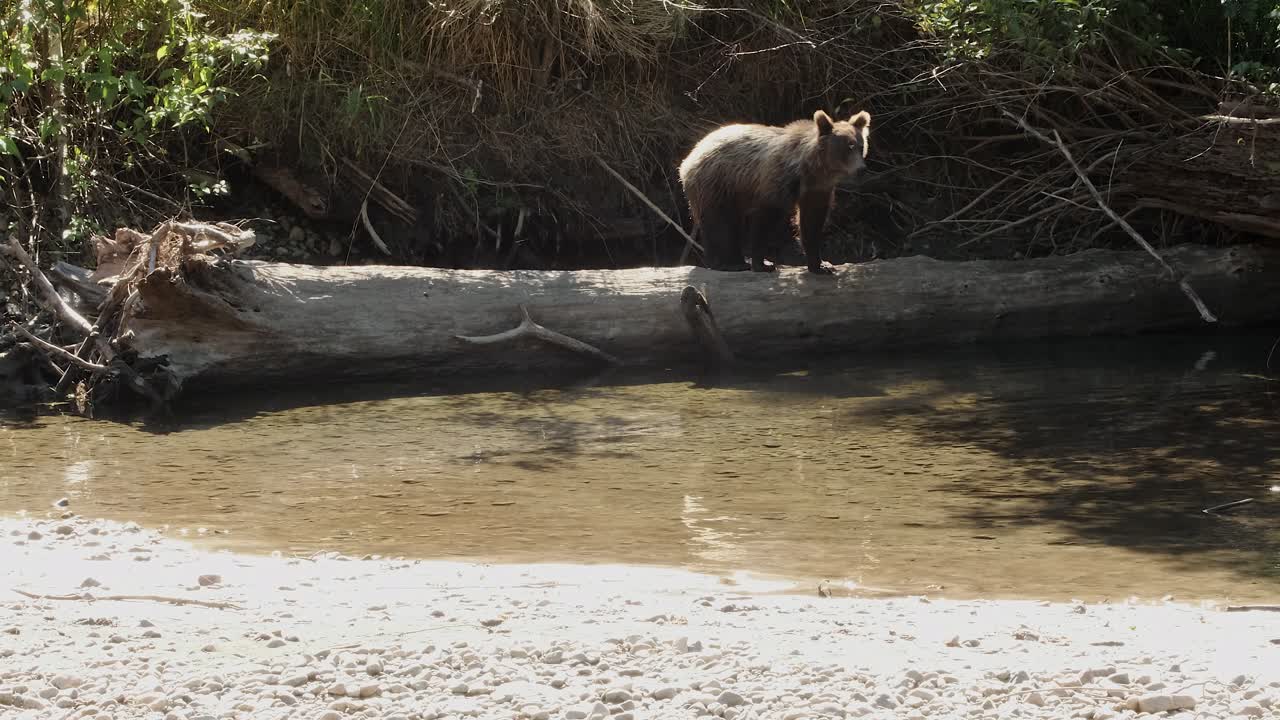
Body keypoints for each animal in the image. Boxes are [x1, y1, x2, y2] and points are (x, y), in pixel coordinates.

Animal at [677, 108, 871, 275]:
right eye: (848, 147)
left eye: (861, 146)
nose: (861, 169)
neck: (811, 170)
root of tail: (690, 155)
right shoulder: (777, 181)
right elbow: (766, 218)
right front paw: (762, 263)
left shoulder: (818, 189)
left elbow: (812, 222)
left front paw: (821, 265)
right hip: (718, 183)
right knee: (720, 222)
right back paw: (727, 263)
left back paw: (737, 260)